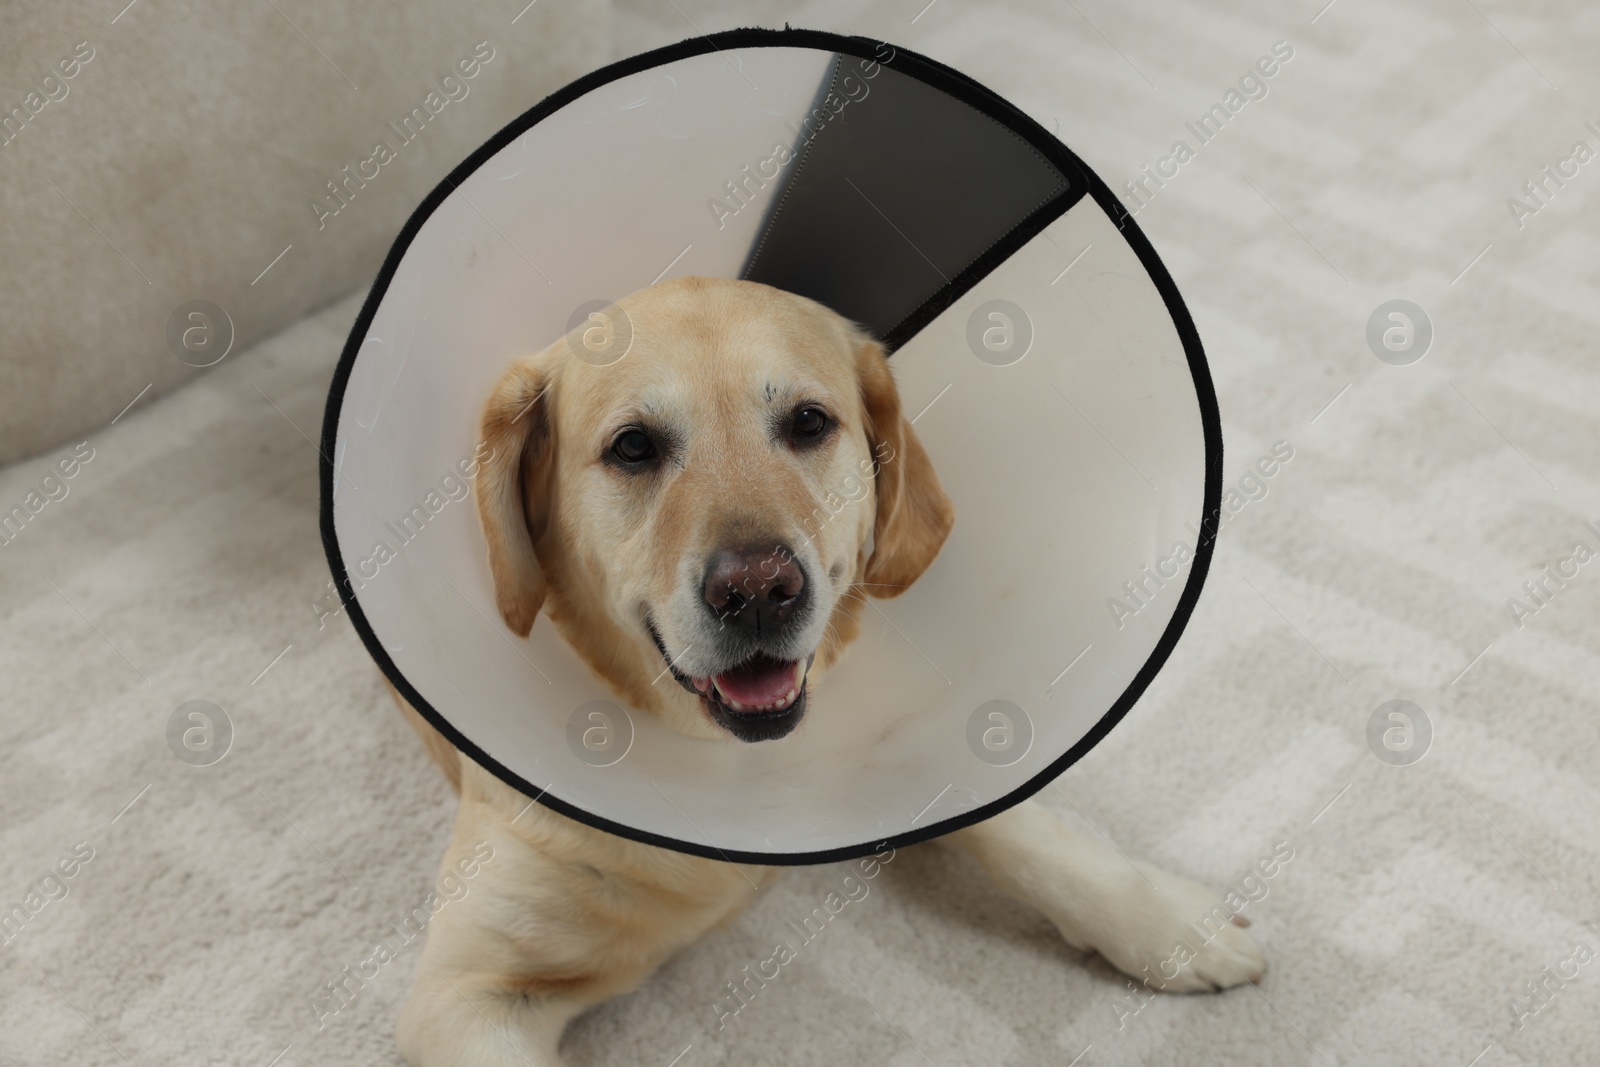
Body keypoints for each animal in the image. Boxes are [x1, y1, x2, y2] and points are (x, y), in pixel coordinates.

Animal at [387, 278, 1260, 1067]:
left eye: (808, 422)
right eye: (632, 446)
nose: (759, 591)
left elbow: (1022, 825)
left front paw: (1168, 923)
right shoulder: (463, 997)